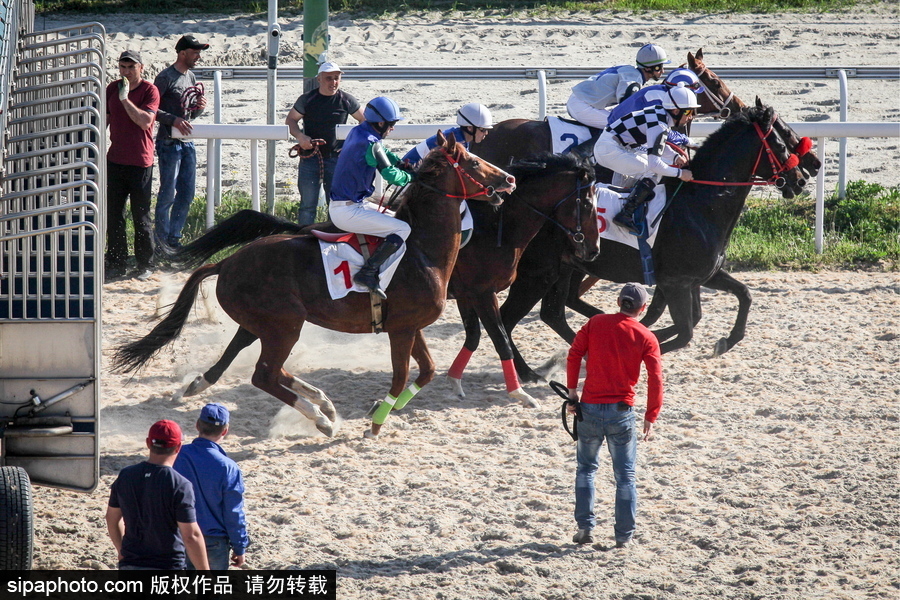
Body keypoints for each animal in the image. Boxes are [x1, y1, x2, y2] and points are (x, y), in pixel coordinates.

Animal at [113, 134, 516, 438]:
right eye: (474, 162)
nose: (509, 180)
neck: (421, 250)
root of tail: (226, 262)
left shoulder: (410, 326)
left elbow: (428, 370)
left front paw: (382, 408)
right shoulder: (400, 329)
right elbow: (401, 375)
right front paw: (375, 423)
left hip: (264, 323)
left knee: (256, 359)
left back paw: (314, 400)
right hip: (285, 325)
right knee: (265, 374)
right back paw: (320, 417)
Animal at [500, 102, 808, 380]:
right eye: (782, 144)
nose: (801, 180)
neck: (700, 204)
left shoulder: (699, 277)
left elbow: (742, 295)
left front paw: (724, 341)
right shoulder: (675, 282)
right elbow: (685, 332)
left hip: (567, 267)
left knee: (553, 313)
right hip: (538, 272)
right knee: (509, 317)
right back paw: (527, 372)